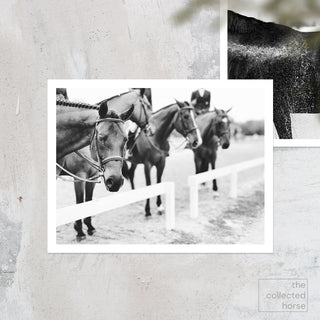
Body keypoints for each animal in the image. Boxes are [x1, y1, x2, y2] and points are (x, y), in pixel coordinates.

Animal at [58, 89, 152, 239]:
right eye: (148, 106)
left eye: (126, 139)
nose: (150, 129)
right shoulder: (79, 177)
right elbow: (80, 201)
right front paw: (80, 231)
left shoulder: (93, 177)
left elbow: (88, 200)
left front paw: (89, 227)